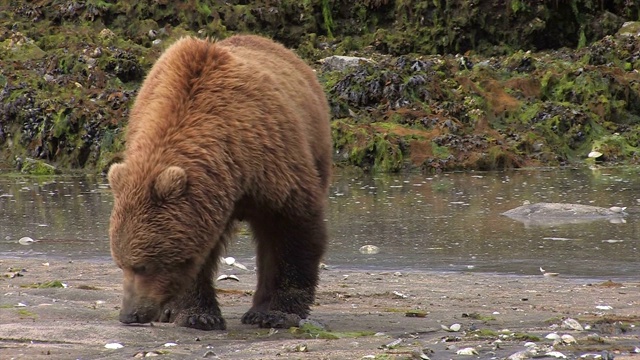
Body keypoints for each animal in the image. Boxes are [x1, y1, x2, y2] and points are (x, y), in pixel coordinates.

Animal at [106, 35, 330, 330]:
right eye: (121, 264)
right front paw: (198, 315)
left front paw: (275, 312)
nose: (130, 315)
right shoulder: (204, 200)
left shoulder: (271, 162)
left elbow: (291, 229)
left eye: (143, 266)